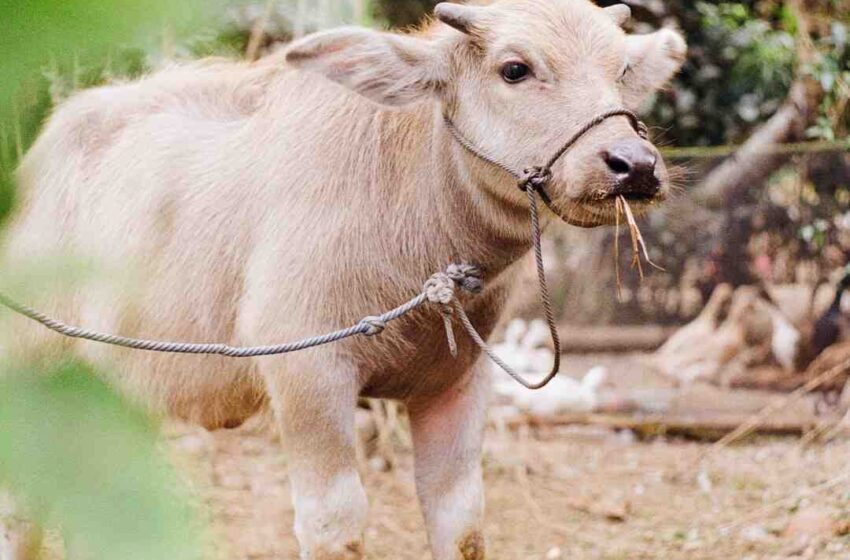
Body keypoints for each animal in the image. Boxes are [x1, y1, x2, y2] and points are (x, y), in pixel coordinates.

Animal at [0, 1, 685, 558]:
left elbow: (462, 523)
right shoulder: (307, 374)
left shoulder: (462, 380)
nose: (634, 165)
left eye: (622, 68)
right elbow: (336, 526)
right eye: (514, 68)